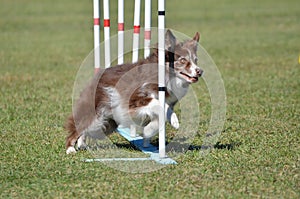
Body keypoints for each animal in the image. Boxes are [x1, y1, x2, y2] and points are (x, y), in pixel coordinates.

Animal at [65, 29, 202, 154]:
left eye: (196, 60)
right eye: (183, 60)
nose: (200, 71)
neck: (166, 75)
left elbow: (162, 113)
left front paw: (152, 130)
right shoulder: (134, 98)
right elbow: (157, 103)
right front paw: (169, 122)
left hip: (108, 123)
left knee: (87, 131)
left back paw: (82, 144)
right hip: (96, 113)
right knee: (78, 127)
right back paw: (70, 149)